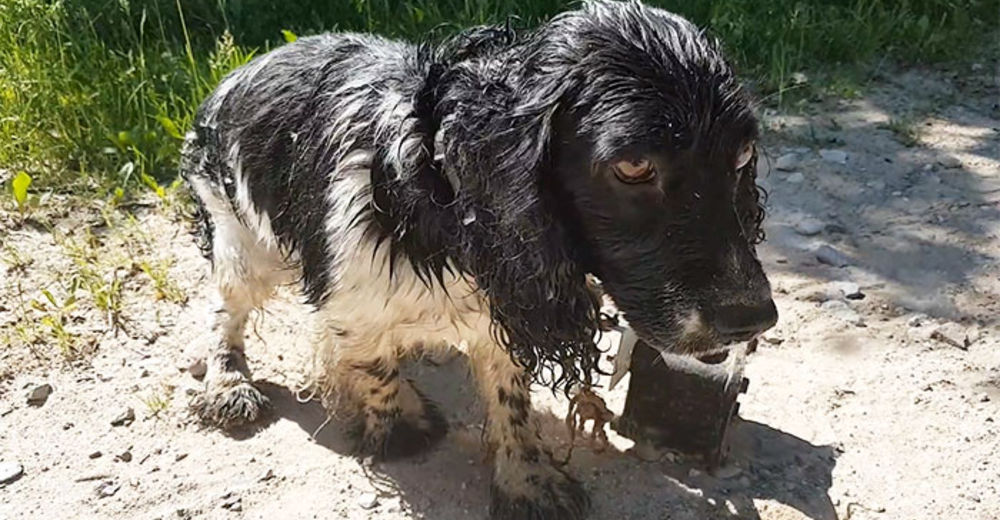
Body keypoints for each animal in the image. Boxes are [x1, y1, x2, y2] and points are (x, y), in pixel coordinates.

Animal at [180, 2, 776, 516]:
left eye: (744, 156)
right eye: (633, 167)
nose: (755, 319)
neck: (437, 190)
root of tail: (239, 70)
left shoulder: (501, 307)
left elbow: (509, 397)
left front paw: (528, 481)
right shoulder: (349, 294)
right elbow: (372, 365)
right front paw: (399, 423)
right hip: (240, 241)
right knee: (223, 313)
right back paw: (228, 384)